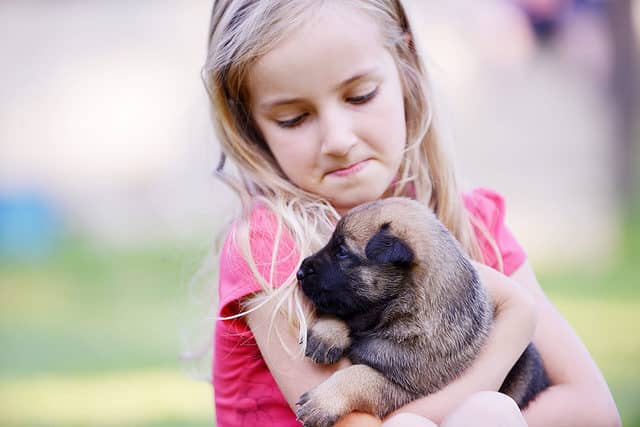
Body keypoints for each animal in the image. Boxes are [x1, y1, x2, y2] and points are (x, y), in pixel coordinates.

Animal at [294, 198, 544, 427]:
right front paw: (327, 335)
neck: (406, 311)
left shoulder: (405, 389)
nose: (300, 271)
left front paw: (322, 401)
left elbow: (359, 375)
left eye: (342, 252)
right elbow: (346, 315)